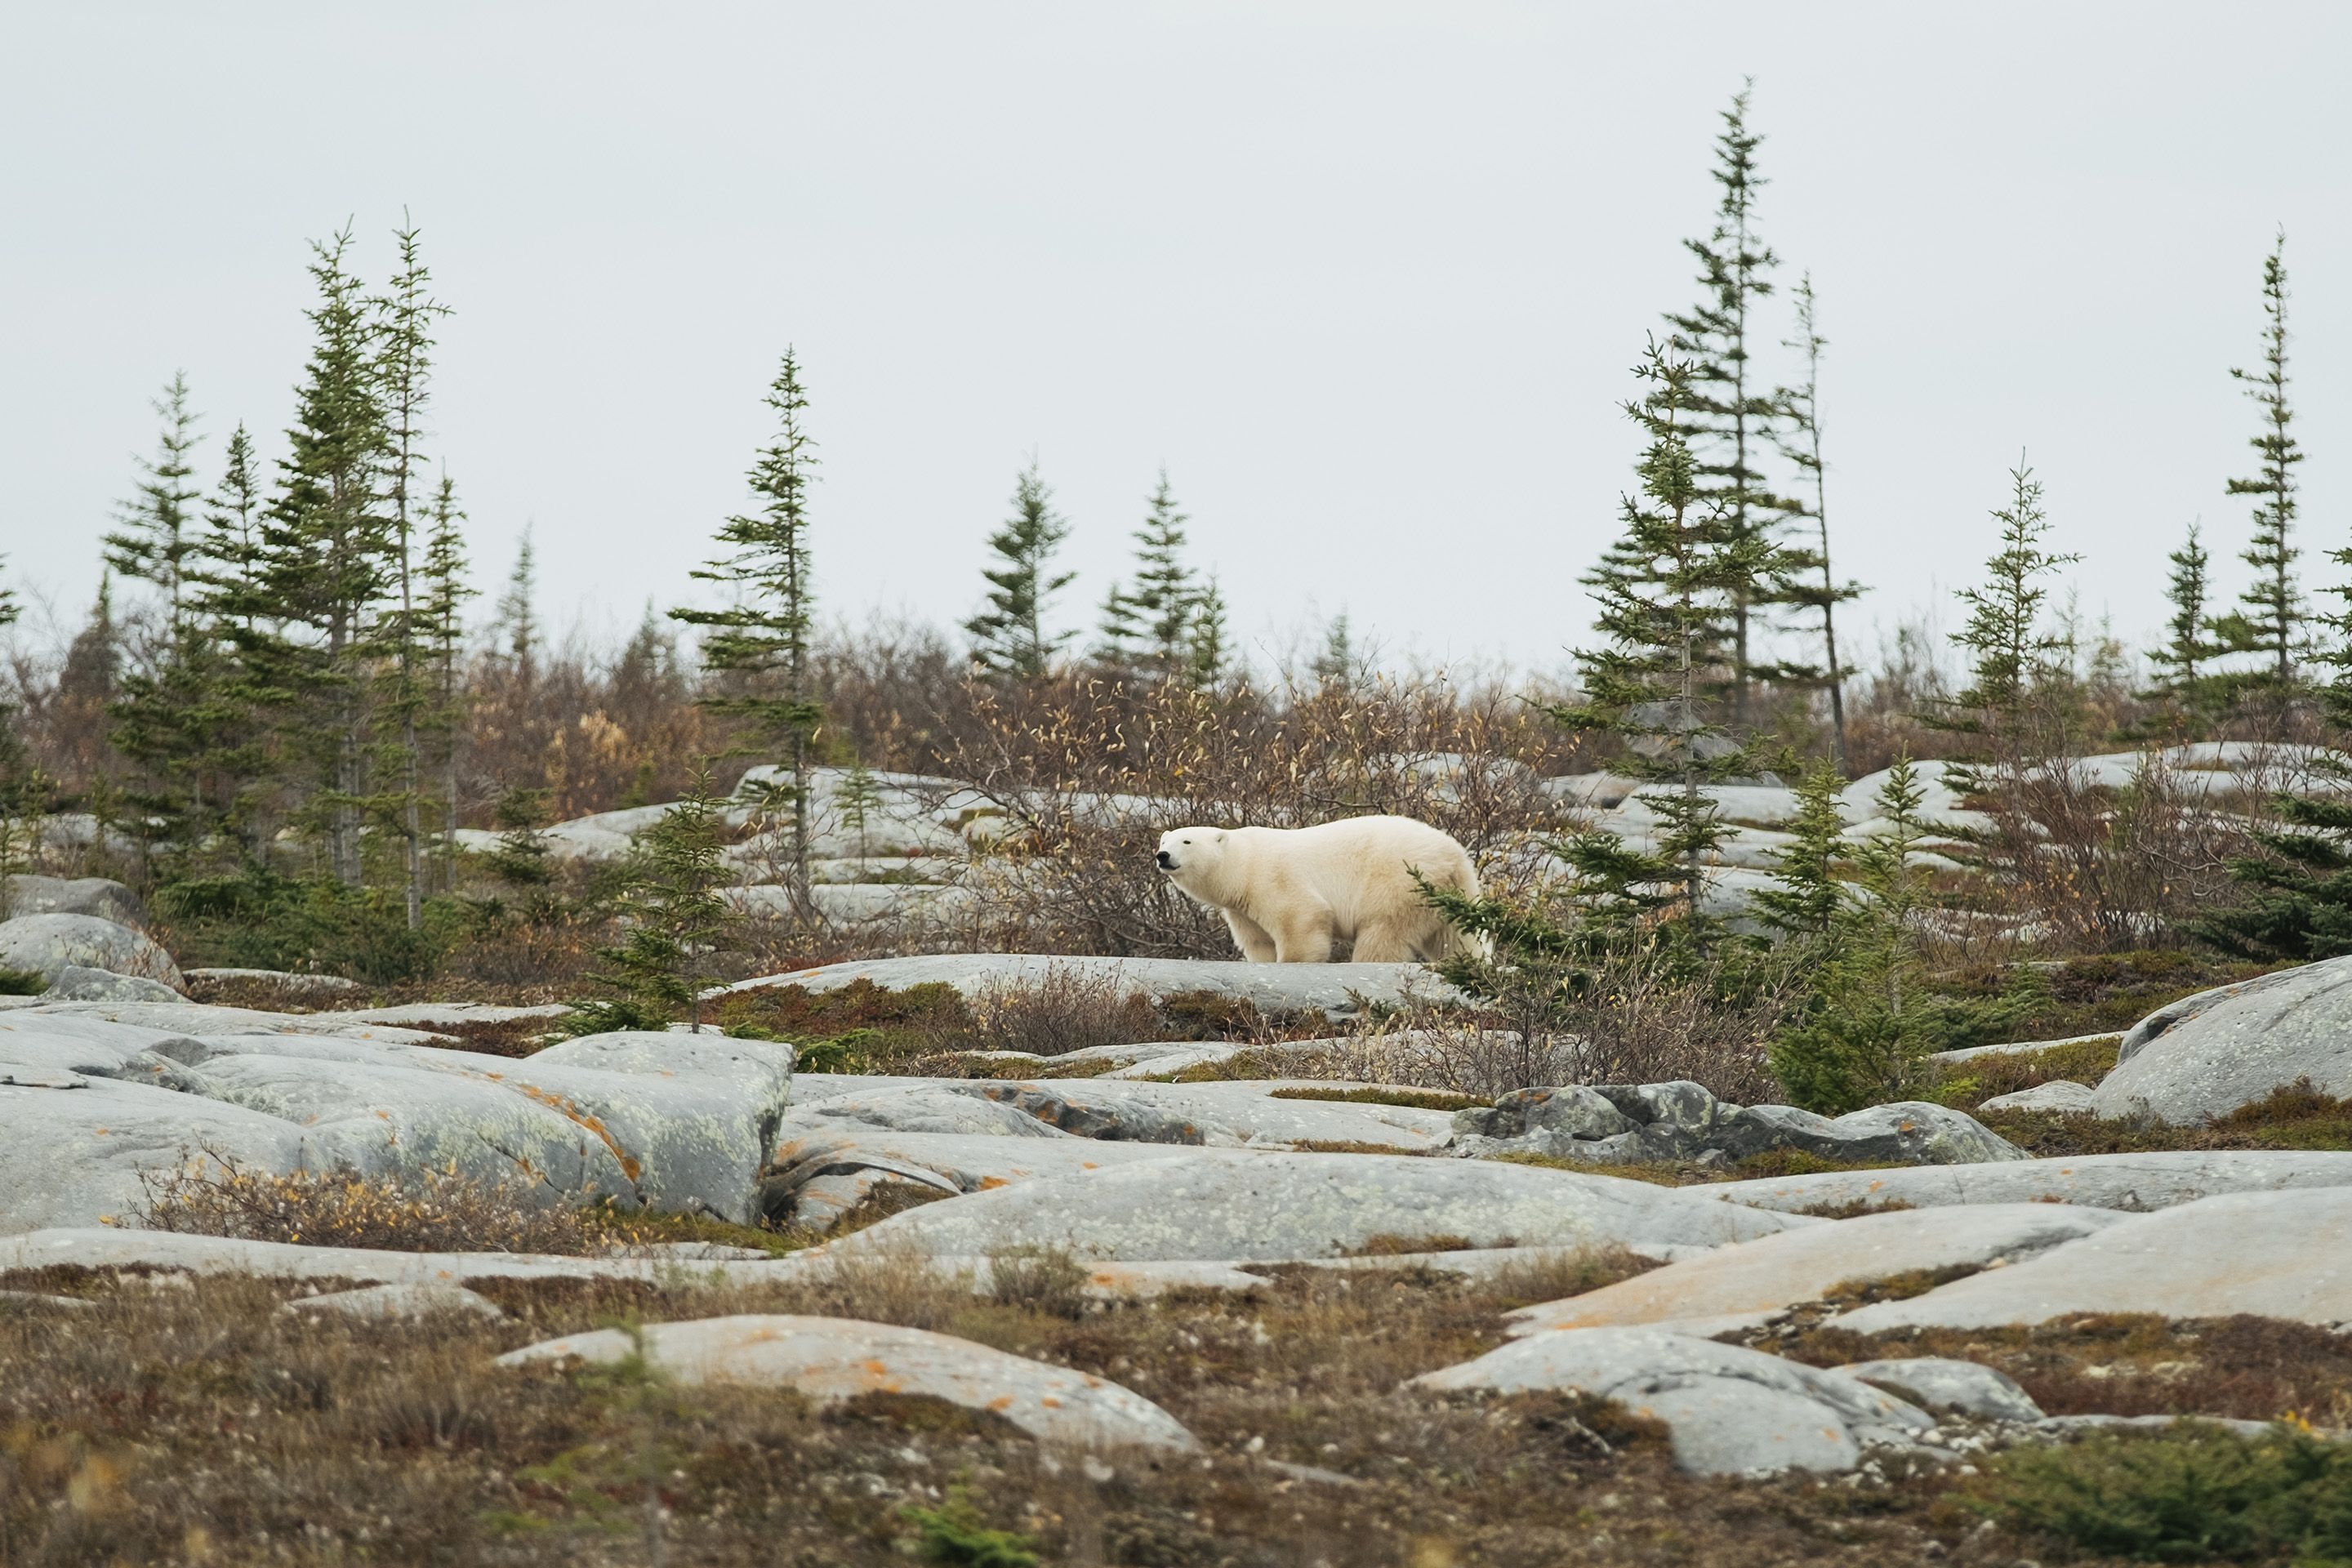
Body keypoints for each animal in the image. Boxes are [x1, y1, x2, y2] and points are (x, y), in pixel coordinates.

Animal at [1155, 814, 1482, 964]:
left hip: (1398, 882)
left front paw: (1293, 960)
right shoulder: (1241, 909)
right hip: (1452, 892)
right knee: (1455, 937)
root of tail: (1453, 855)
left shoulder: (1272, 877)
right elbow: (1258, 941)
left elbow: (1302, 916)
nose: (1163, 856)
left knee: (1383, 932)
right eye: (1164, 840)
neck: (1243, 864)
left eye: (1187, 841)